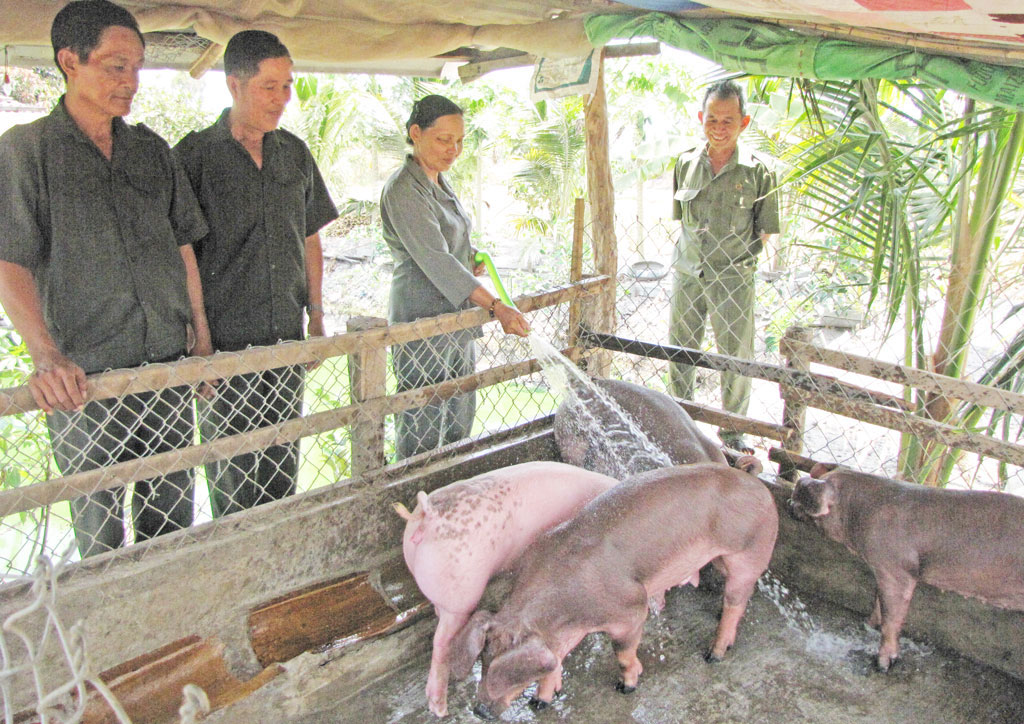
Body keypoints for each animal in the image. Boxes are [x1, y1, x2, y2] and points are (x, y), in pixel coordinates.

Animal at [448, 458, 774, 720]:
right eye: (483, 660)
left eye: (512, 672)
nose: (480, 711)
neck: (568, 612)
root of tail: (751, 478)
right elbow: (555, 662)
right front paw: (540, 704)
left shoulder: (631, 610)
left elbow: (622, 653)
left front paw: (626, 687)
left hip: (749, 554)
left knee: (736, 601)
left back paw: (714, 654)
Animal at [794, 464, 1024, 675]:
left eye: (803, 501)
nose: (799, 483)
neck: (857, 511)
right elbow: (878, 601)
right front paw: (868, 624)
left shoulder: (896, 568)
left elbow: (892, 616)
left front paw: (882, 665)